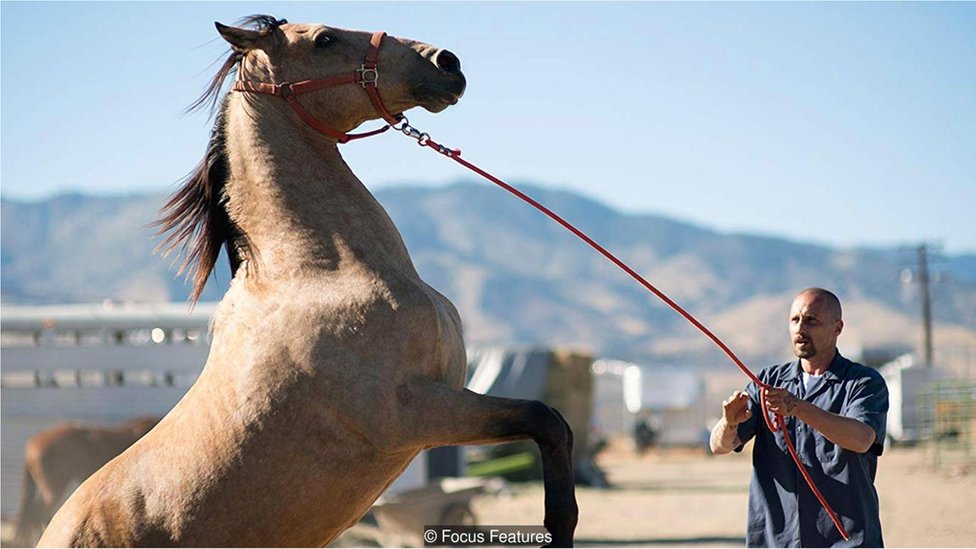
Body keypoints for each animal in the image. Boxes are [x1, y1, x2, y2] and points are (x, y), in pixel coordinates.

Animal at [38, 15, 576, 544]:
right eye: (325, 39)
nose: (447, 63)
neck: (320, 271)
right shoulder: (413, 412)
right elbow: (545, 420)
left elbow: (556, 427)